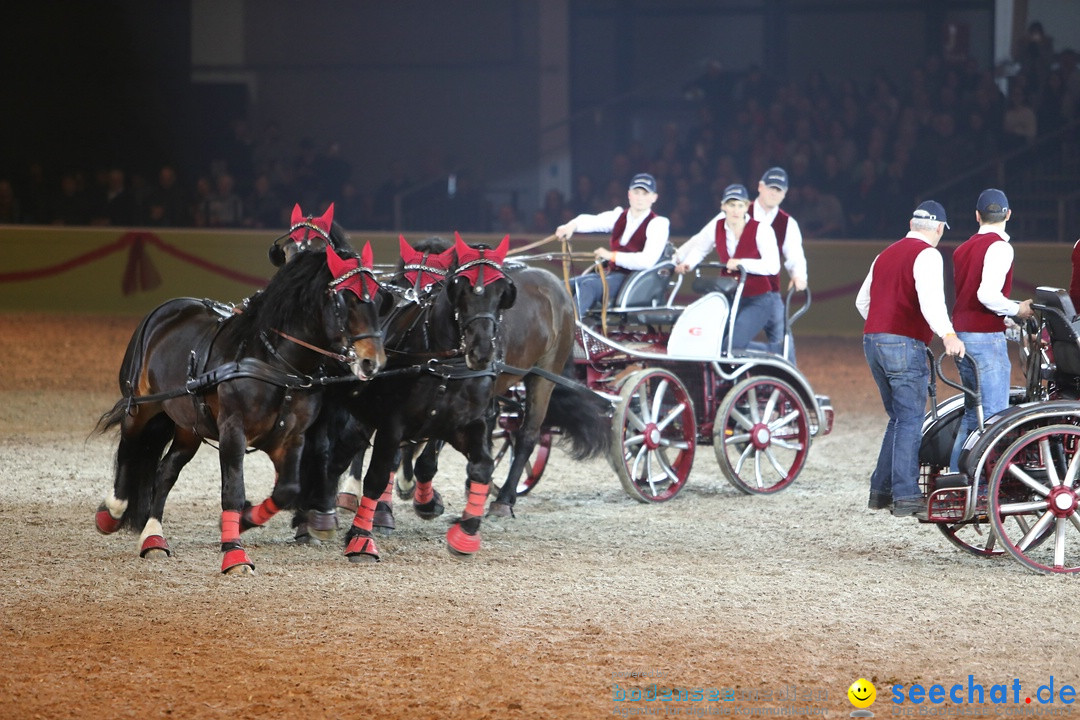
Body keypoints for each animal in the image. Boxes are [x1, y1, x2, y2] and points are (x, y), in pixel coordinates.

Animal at [93, 245, 388, 578]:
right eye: (345, 300)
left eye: (379, 299)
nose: (372, 362)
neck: (276, 364)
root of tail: (166, 309)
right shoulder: (233, 431)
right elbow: (232, 490)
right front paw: (234, 554)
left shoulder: (291, 437)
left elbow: (286, 490)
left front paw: (245, 519)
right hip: (141, 407)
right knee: (130, 449)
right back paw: (112, 512)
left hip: (188, 426)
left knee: (166, 470)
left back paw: (153, 537)